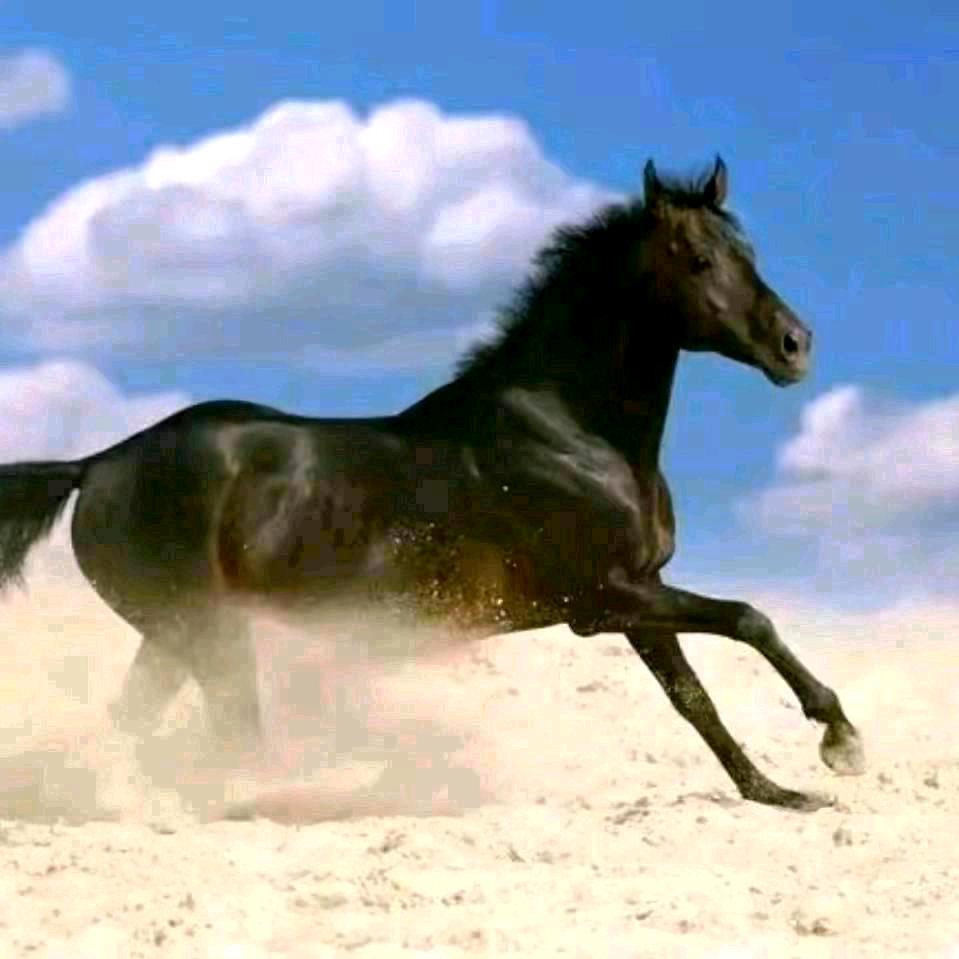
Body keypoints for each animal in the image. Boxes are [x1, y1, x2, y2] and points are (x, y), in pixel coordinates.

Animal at [0, 156, 864, 811]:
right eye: (697, 259)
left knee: (138, 725)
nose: (795, 346)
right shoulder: (602, 597)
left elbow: (694, 700)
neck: (573, 432)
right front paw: (839, 740)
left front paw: (780, 791)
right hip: (206, 631)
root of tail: (98, 464)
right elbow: (748, 618)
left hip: (172, 636)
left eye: (748, 251)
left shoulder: (637, 593)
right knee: (229, 732)